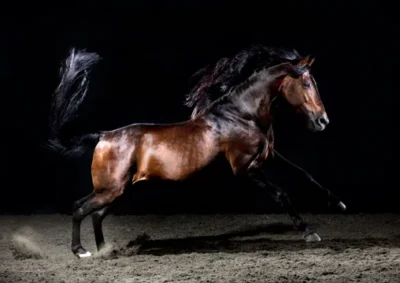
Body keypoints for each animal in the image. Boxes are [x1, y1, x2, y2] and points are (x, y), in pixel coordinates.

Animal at [183, 43, 346, 215]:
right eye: (306, 84)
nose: (323, 120)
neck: (242, 115)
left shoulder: (268, 155)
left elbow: (302, 172)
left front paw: (337, 202)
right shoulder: (243, 168)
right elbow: (279, 192)